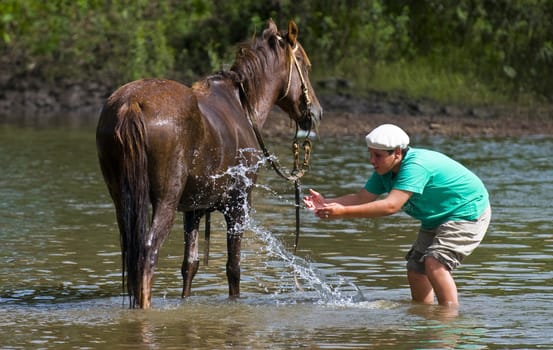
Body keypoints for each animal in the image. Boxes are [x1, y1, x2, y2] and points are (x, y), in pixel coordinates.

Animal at [94, 19, 320, 308]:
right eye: (304, 63)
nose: (316, 112)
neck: (243, 107)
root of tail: (131, 104)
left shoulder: (194, 210)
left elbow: (190, 265)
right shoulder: (238, 204)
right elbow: (233, 268)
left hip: (123, 199)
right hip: (165, 202)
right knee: (147, 255)